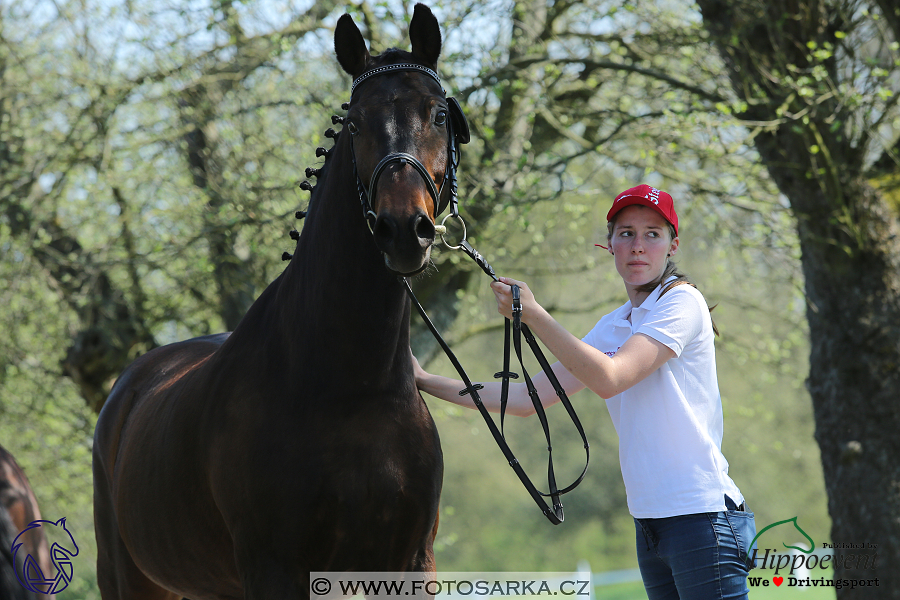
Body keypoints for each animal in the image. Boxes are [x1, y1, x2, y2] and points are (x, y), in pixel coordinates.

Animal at [93, 3, 458, 596]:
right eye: (355, 122)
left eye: (439, 115)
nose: (404, 231)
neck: (354, 391)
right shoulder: (276, 568)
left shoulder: (408, 562)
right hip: (130, 577)